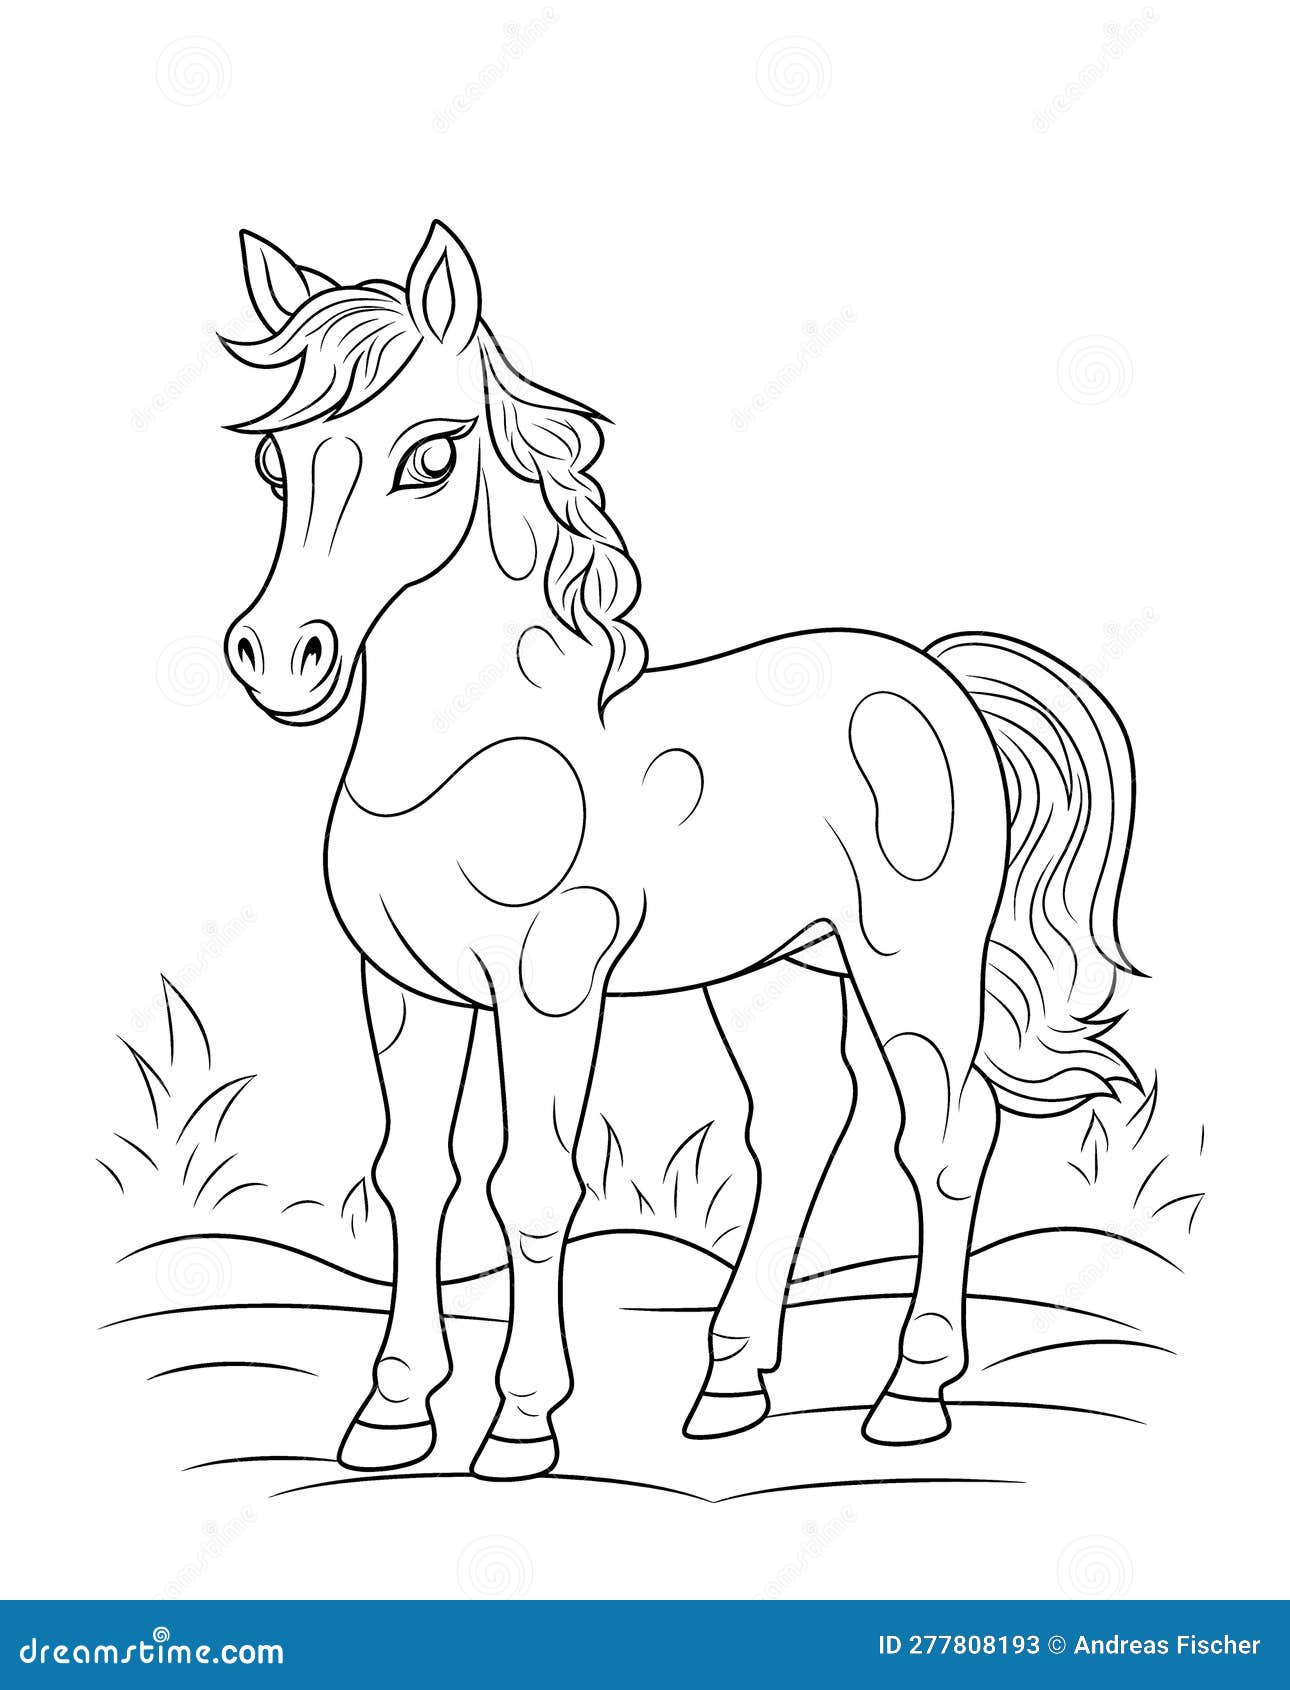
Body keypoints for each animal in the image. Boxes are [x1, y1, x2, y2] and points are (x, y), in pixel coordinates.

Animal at [220, 218, 1140, 1480]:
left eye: (430, 457)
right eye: (275, 462)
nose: (281, 657)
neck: (467, 754)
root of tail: (936, 679)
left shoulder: (550, 989)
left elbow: (531, 1186)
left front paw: (520, 1421)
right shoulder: (407, 991)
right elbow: (414, 1175)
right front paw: (391, 1411)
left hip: (913, 968)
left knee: (947, 1138)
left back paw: (910, 1393)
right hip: (781, 969)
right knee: (803, 1126)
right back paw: (731, 1380)